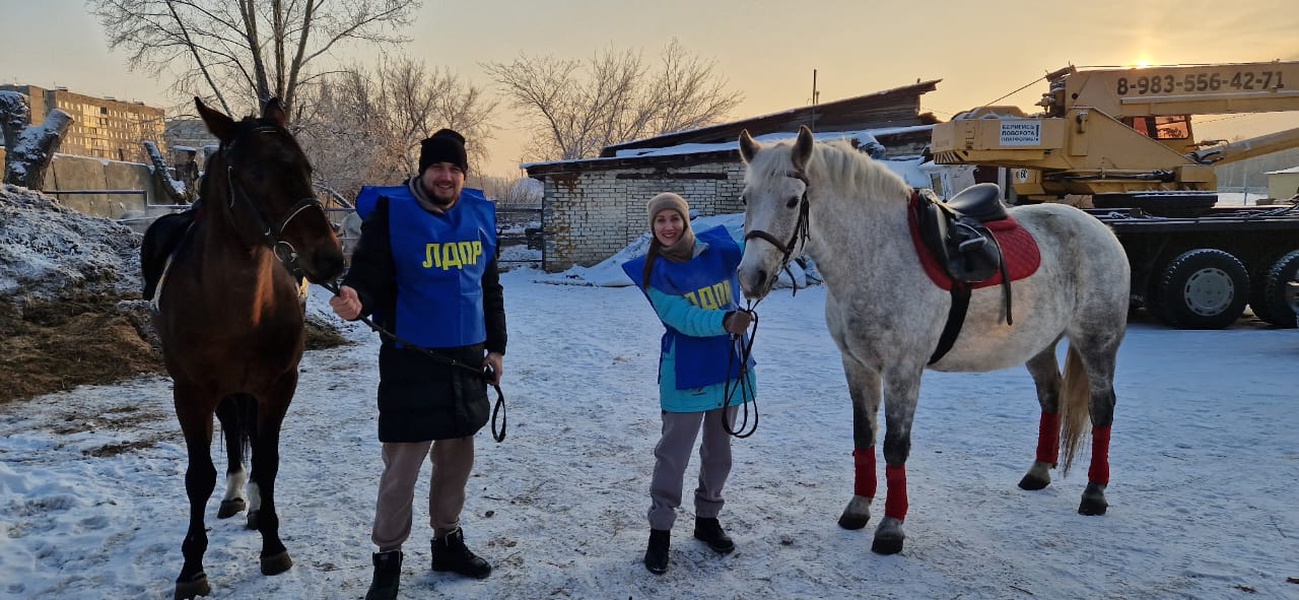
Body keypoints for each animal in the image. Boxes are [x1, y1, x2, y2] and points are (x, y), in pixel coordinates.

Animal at [145, 96, 345, 597]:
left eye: (307, 167)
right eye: (255, 173)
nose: (331, 259)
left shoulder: (278, 386)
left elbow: (269, 462)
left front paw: (272, 544)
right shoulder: (191, 393)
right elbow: (199, 477)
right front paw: (192, 567)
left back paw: (251, 503)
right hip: (220, 391)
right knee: (234, 432)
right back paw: (235, 494)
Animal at [743, 127, 1127, 558]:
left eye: (793, 200)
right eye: (746, 198)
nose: (751, 277)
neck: (877, 256)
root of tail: (1101, 229)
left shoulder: (902, 372)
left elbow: (895, 446)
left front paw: (890, 529)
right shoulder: (856, 365)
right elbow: (864, 436)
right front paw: (857, 509)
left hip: (1097, 341)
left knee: (1102, 408)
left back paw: (1094, 493)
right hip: (1039, 345)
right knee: (1051, 397)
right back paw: (1038, 472)